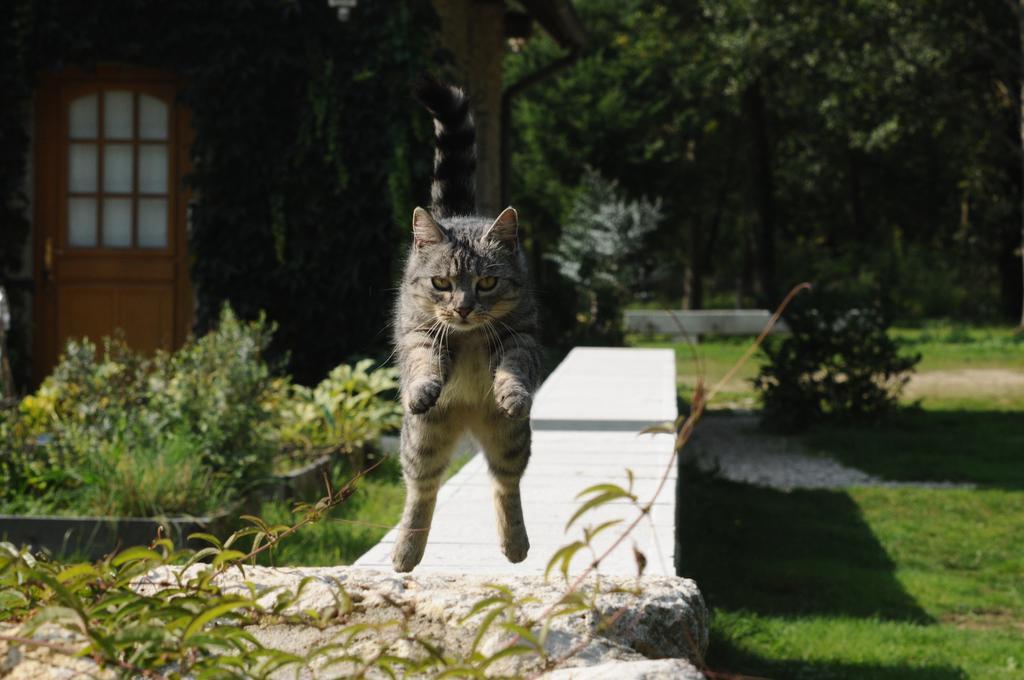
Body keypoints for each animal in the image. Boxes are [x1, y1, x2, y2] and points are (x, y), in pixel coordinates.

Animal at [387, 76, 540, 569]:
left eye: (487, 282)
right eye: (441, 282)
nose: (464, 308)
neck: (470, 338)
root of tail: (470, 419)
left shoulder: (521, 337)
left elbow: (513, 368)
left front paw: (512, 392)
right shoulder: (419, 333)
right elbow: (424, 364)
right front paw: (423, 388)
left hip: (510, 438)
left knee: (504, 483)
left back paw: (515, 544)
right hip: (424, 438)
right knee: (422, 489)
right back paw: (406, 551)